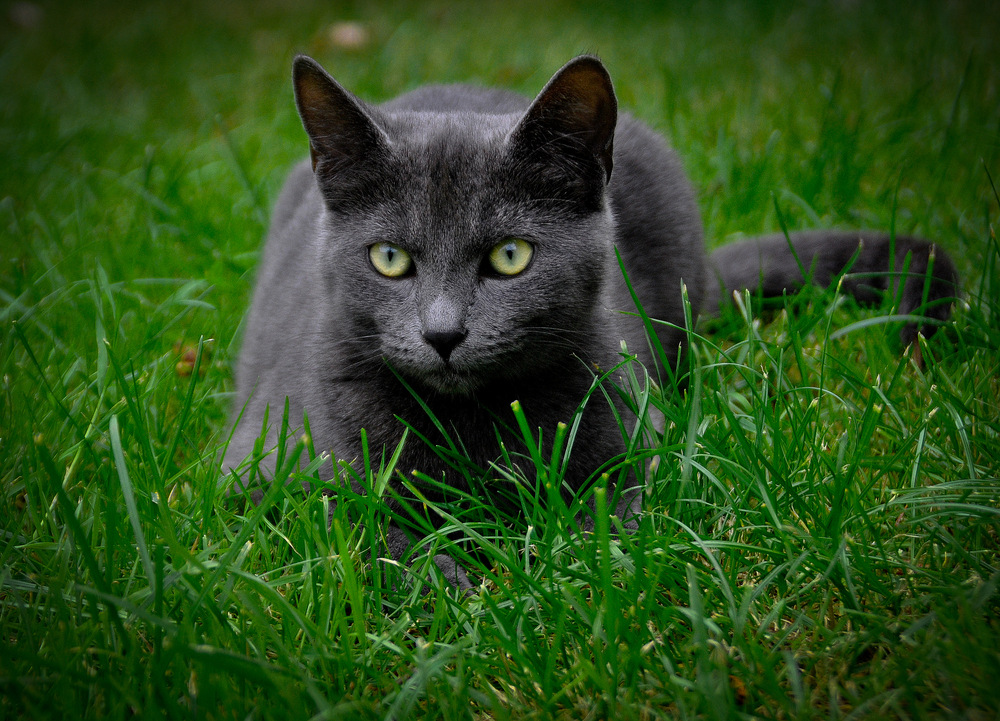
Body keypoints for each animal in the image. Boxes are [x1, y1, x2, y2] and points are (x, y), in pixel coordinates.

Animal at [223, 54, 956, 584]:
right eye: (390, 258)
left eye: (510, 255)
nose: (443, 333)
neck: (471, 425)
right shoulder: (262, 467)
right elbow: (356, 522)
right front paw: (448, 581)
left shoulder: (636, 446)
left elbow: (608, 523)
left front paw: (547, 575)